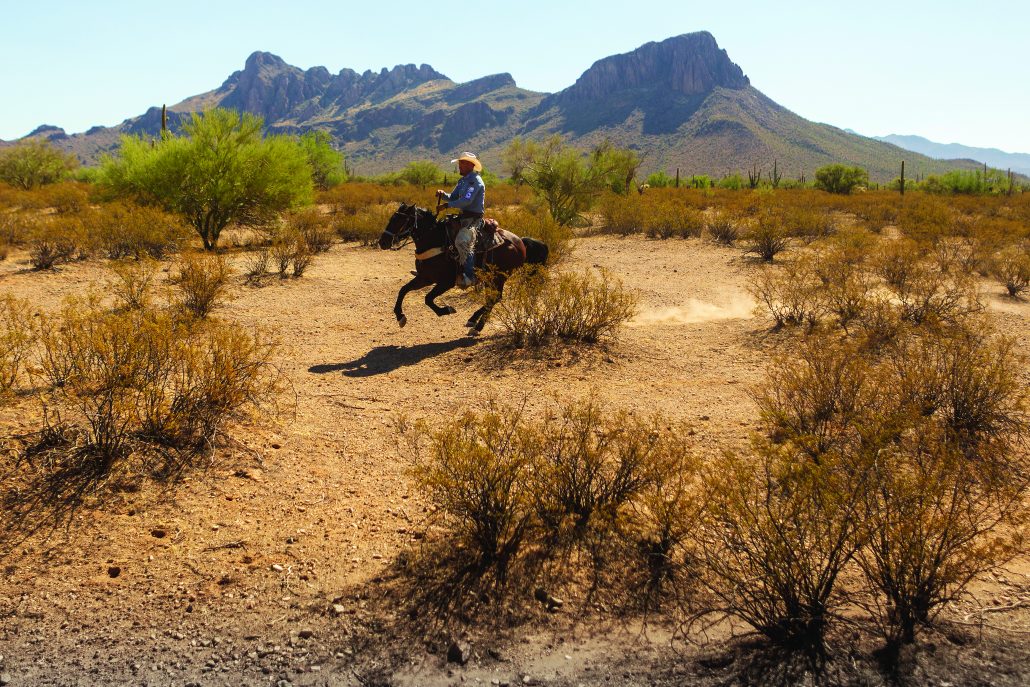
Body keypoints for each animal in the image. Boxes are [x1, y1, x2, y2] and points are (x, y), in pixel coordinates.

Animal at [379, 203, 549, 335]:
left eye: (400, 220)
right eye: (392, 218)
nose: (383, 242)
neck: (435, 241)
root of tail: (520, 241)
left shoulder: (446, 282)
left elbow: (428, 299)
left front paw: (446, 310)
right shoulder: (425, 278)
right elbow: (403, 290)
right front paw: (400, 317)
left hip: (499, 276)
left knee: (495, 298)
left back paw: (477, 327)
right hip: (491, 278)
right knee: (493, 298)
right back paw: (473, 321)